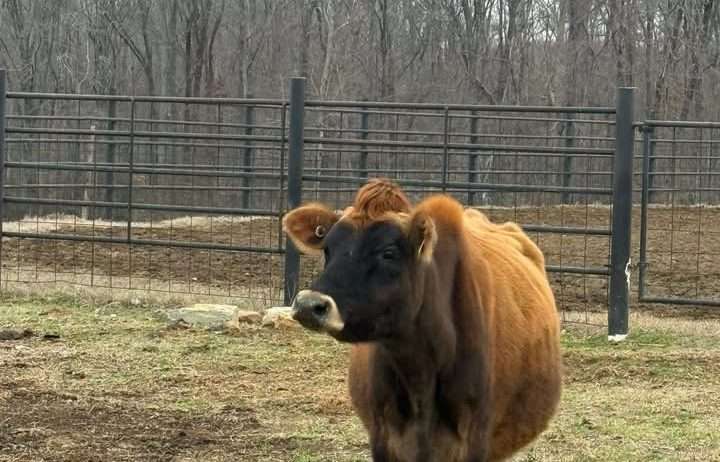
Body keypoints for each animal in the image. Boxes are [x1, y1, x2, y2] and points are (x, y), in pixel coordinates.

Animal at [282, 178, 562, 461]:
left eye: (388, 252)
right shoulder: (383, 437)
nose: (309, 304)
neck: (420, 369)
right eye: (328, 249)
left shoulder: (475, 440)